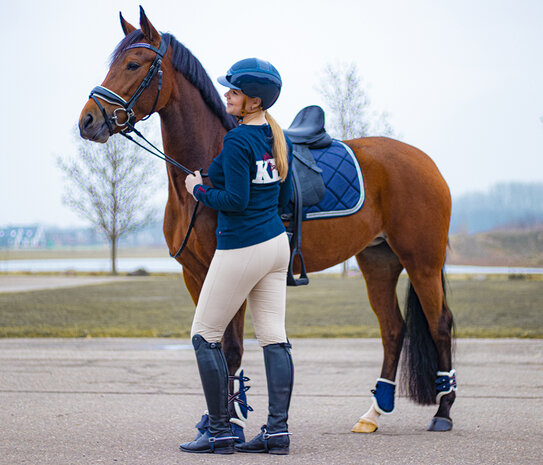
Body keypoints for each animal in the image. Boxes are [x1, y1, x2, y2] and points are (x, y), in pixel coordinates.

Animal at [78, 7, 456, 434]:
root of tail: (424, 161)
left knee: (440, 325)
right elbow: (210, 342)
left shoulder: (231, 270)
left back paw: (443, 411)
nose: (87, 120)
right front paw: (212, 420)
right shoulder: (195, 274)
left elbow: (231, 347)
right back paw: (374, 412)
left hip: (422, 262)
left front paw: (226, 423)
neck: (204, 172)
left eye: (133, 64)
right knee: (393, 329)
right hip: (378, 261)